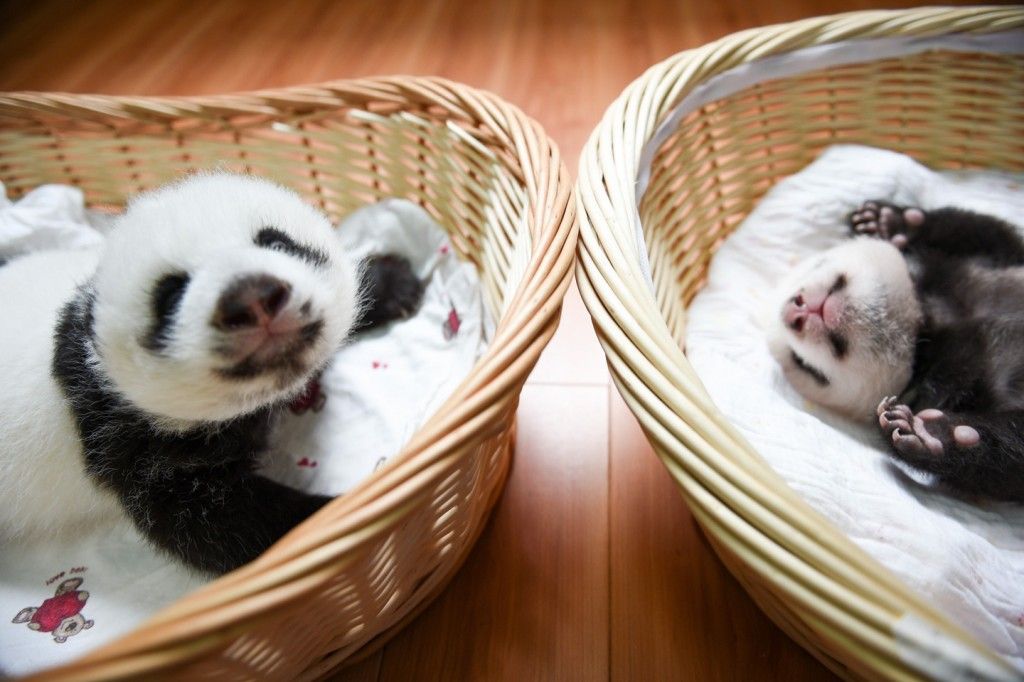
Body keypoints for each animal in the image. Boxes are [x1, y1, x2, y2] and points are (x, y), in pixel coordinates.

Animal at [0, 173, 423, 573]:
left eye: (277, 244)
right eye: (171, 294)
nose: (253, 297)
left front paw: (394, 282)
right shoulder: (124, 439)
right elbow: (210, 523)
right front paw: (337, 513)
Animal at [768, 200, 1024, 503]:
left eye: (819, 264)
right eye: (802, 364)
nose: (796, 310)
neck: (920, 328)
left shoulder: (986, 262)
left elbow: (984, 232)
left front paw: (886, 221)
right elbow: (1009, 468)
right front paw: (932, 439)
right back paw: (940, 435)